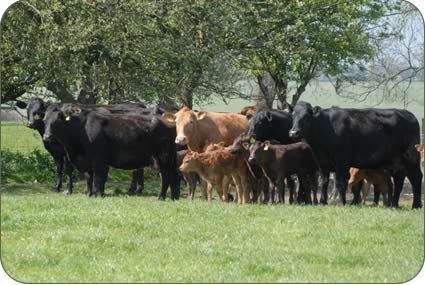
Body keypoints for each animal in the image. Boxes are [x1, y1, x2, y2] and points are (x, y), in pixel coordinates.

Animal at [44, 103, 180, 199]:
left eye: (58, 120)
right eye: (45, 120)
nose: (47, 137)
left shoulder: (99, 161)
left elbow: (98, 180)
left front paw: (97, 194)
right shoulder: (88, 162)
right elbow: (89, 179)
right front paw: (89, 194)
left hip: (164, 158)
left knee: (166, 177)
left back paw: (161, 197)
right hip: (171, 158)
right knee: (174, 176)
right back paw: (174, 197)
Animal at [288, 101, 420, 207]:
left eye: (306, 116)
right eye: (293, 115)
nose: (294, 132)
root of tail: (409, 114)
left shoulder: (341, 160)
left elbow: (340, 182)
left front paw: (341, 203)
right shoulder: (322, 163)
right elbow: (324, 183)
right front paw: (322, 202)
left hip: (411, 158)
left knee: (416, 178)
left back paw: (416, 205)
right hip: (396, 162)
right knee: (399, 179)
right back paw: (394, 204)